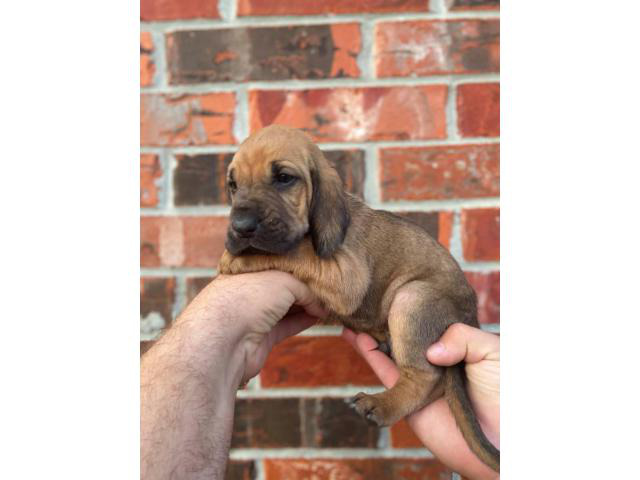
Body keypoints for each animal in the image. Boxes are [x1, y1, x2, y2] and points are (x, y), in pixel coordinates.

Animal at [219, 124, 500, 472]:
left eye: (284, 178)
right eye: (233, 185)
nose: (240, 227)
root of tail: (471, 316)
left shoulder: (346, 275)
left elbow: (294, 250)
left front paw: (235, 259)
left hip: (412, 297)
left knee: (427, 377)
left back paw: (382, 404)